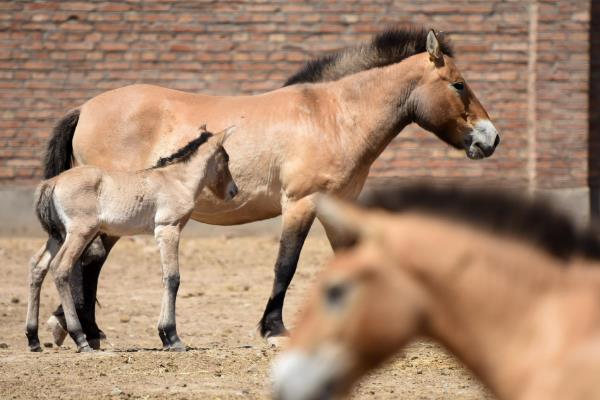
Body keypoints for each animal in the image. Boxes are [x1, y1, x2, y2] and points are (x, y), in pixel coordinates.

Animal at [26, 126, 237, 352]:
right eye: (226, 158)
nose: (234, 191)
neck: (176, 180)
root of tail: (53, 182)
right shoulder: (169, 228)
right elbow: (173, 278)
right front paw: (173, 337)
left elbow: (165, 277)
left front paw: (164, 337)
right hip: (80, 232)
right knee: (60, 267)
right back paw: (80, 338)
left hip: (58, 236)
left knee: (38, 265)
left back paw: (33, 339)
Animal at [44, 28, 500, 346]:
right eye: (459, 84)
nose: (491, 139)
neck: (334, 116)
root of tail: (84, 109)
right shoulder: (301, 203)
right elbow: (286, 264)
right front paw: (274, 328)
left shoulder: (336, 206)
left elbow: (349, 258)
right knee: (89, 261)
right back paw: (84, 332)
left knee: (88, 262)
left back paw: (80, 330)